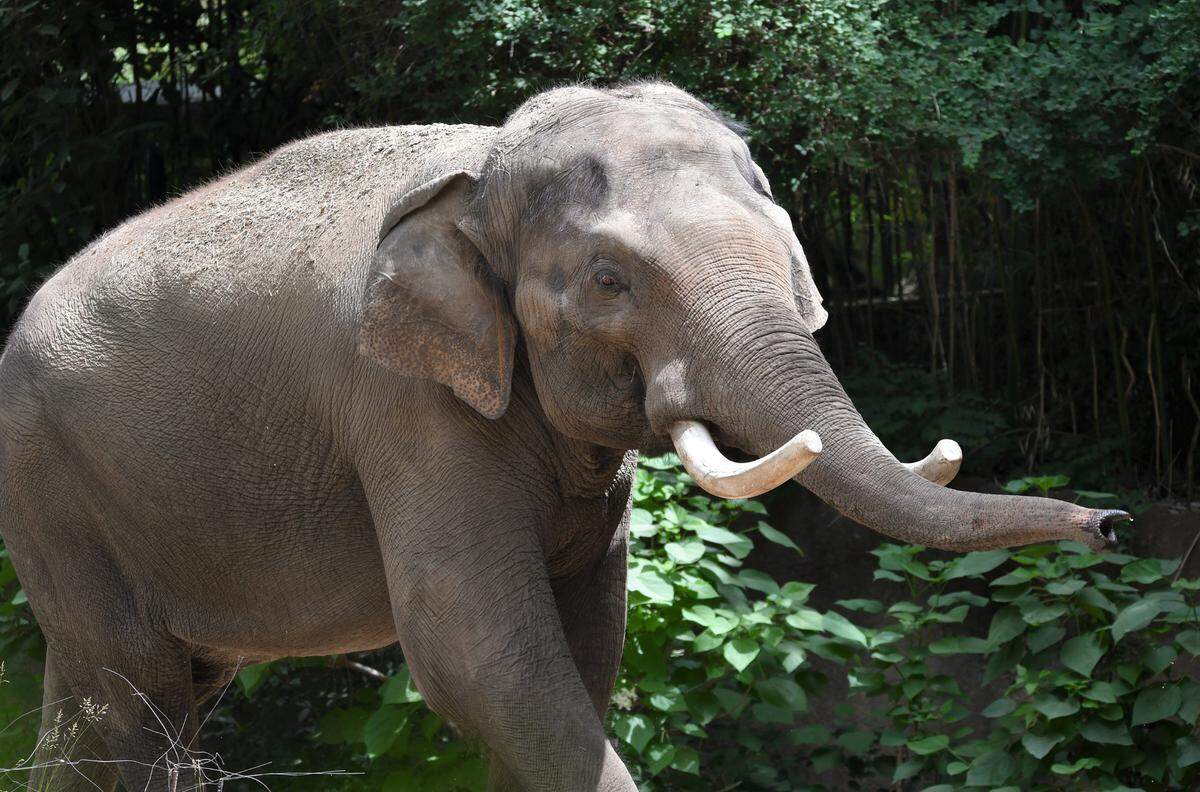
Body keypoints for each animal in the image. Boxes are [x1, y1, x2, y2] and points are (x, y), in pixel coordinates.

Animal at [0, 81, 1128, 791]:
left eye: (788, 246)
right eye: (609, 281)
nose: (1113, 523)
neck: (483, 162)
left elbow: (582, 645)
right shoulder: (406, 407)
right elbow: (479, 651)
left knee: (124, 699)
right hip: (51, 485)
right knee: (133, 696)